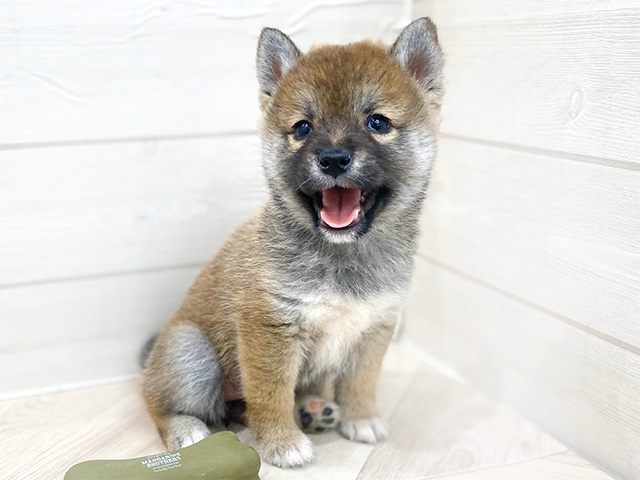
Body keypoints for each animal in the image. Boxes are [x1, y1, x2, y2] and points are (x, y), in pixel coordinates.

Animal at [142, 16, 442, 466]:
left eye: (378, 123)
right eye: (303, 128)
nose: (333, 159)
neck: (341, 254)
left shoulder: (374, 329)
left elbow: (361, 382)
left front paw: (361, 417)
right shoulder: (270, 328)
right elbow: (271, 395)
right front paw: (281, 443)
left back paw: (314, 410)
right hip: (190, 353)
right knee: (160, 403)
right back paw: (186, 430)